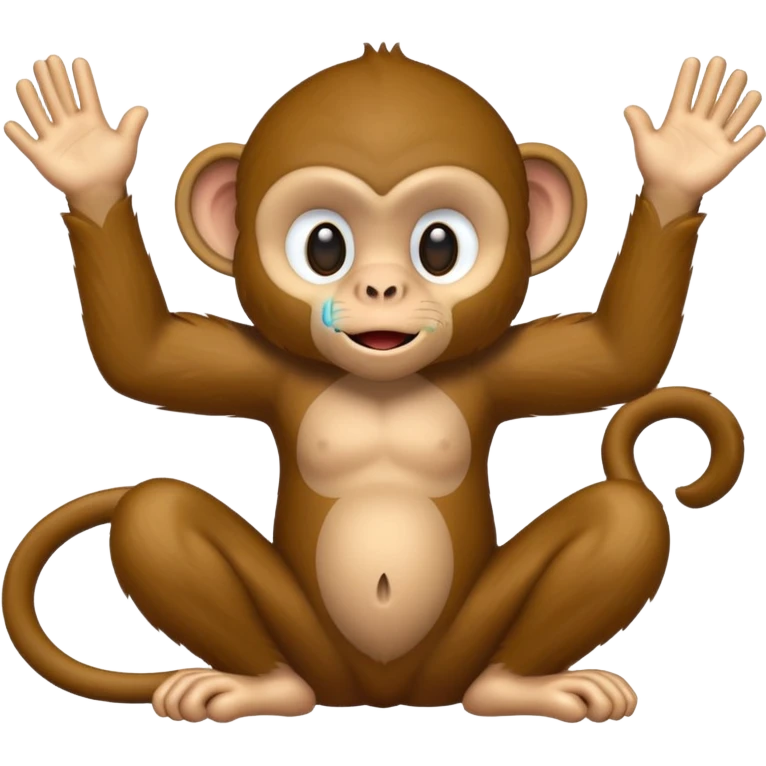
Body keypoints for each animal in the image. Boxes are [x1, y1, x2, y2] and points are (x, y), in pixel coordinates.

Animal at [1, 45, 760, 724]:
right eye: (325, 245)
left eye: (440, 246)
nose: (382, 288)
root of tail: (385, 694)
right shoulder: (272, 372)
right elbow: (143, 356)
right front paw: (88, 166)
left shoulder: (494, 372)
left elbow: (620, 355)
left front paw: (682, 165)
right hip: (312, 646)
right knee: (156, 511)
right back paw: (261, 686)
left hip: (461, 648)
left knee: (623, 515)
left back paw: (516, 686)